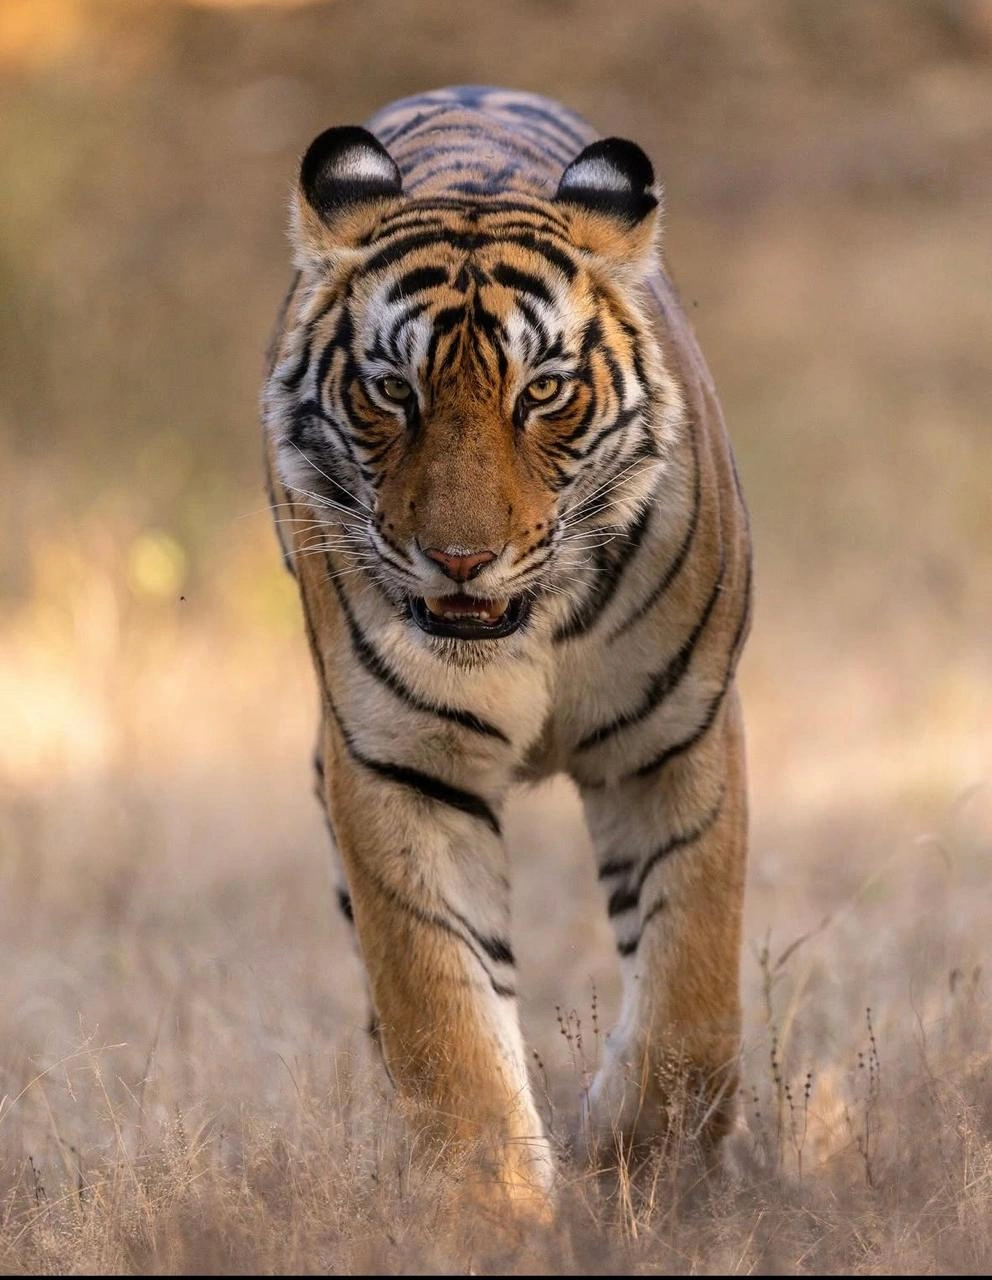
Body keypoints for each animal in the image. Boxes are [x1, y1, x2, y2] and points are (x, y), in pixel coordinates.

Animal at [261, 85, 752, 1214]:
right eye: (391, 390)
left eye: (541, 393)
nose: (459, 557)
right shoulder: (397, 764)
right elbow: (441, 1013)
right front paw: (491, 1208)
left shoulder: (678, 735)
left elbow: (692, 987)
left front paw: (642, 1164)